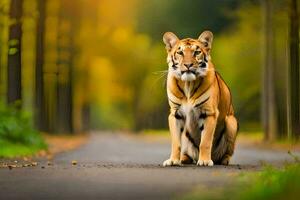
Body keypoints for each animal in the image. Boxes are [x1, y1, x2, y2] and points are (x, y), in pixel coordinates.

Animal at [163, 30, 238, 166]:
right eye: (180, 52)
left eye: (197, 52)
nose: (188, 65)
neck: (188, 84)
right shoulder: (175, 114)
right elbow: (176, 142)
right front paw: (172, 160)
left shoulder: (208, 113)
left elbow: (205, 141)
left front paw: (204, 161)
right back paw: (183, 159)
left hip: (232, 122)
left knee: (227, 153)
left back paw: (223, 160)